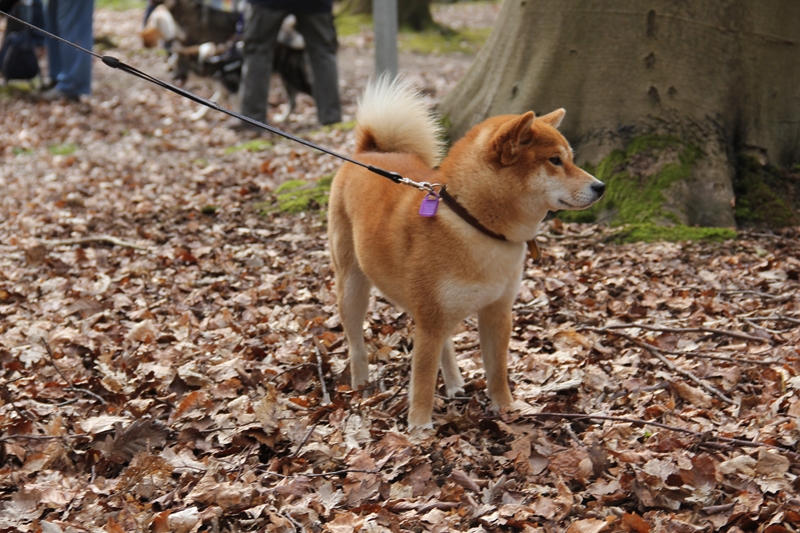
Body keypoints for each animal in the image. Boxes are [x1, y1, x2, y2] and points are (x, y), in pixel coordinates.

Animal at [328, 78, 604, 428]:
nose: (601, 186)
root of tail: (370, 151)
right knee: (356, 343)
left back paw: (455, 383)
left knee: (445, 342)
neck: (476, 224)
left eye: (570, 159)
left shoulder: (496, 312)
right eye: (555, 160)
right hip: (354, 287)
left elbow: (497, 370)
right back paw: (361, 385)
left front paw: (507, 409)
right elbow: (422, 379)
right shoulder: (431, 318)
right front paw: (419, 427)